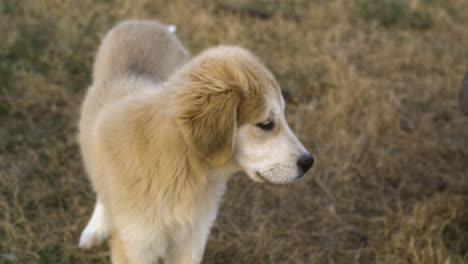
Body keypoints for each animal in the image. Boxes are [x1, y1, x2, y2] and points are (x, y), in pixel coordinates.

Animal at [77, 20, 314, 264]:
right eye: (266, 124)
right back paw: (95, 228)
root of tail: (146, 23)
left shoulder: (192, 239)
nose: (309, 162)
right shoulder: (135, 245)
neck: (182, 167)